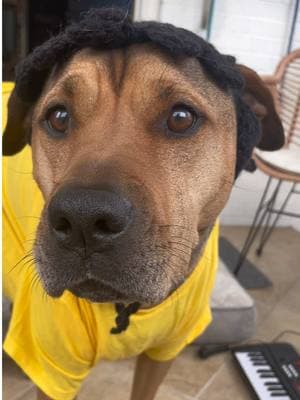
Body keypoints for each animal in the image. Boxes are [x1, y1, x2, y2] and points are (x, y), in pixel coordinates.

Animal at [2, 10, 284, 400]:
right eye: (58, 117)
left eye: (181, 117)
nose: (82, 218)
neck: (125, 308)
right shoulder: (54, 371)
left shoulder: (163, 353)